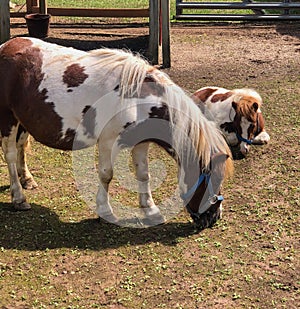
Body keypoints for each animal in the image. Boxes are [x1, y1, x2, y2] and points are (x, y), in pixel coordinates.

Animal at [0, 37, 233, 227]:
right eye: (213, 181)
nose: (214, 218)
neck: (137, 98)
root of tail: (6, 46)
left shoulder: (141, 143)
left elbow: (143, 174)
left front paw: (151, 210)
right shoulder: (108, 141)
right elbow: (106, 175)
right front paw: (105, 212)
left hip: (22, 121)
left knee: (21, 148)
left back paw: (27, 179)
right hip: (8, 119)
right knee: (10, 155)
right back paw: (18, 198)